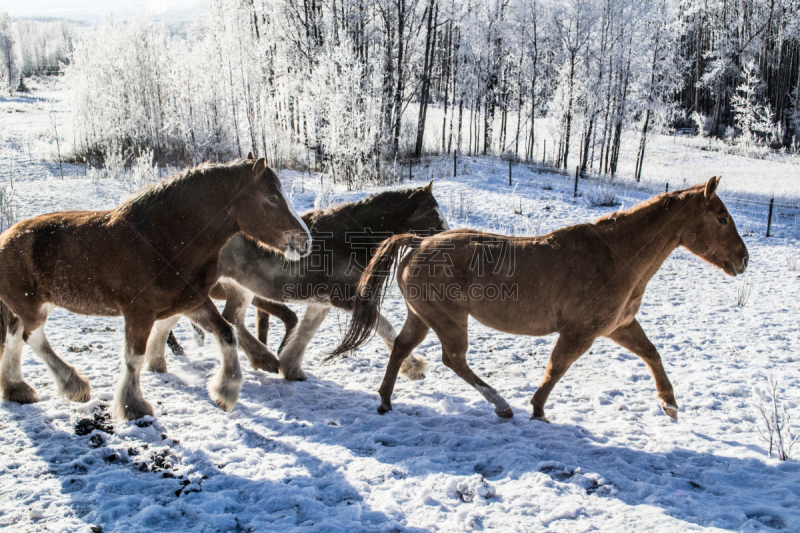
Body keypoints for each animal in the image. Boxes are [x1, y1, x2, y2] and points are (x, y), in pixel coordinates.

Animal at [0, 156, 310, 422]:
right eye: (271, 199)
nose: (304, 241)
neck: (162, 240)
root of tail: (5, 237)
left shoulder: (191, 302)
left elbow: (226, 333)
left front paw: (225, 394)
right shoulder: (139, 312)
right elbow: (134, 357)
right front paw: (133, 406)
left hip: (28, 305)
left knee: (15, 337)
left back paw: (17, 389)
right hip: (32, 306)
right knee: (33, 338)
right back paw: (73, 385)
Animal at [332, 177, 752, 422]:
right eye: (720, 218)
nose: (744, 259)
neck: (615, 255)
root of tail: (417, 244)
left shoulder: (619, 326)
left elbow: (651, 353)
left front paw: (670, 405)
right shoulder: (581, 333)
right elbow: (557, 368)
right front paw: (537, 410)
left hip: (422, 316)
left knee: (403, 347)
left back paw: (386, 400)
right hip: (448, 320)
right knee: (453, 359)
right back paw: (501, 405)